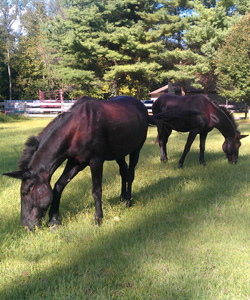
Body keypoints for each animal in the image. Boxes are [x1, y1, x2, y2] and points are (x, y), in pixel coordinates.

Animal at [2, 95, 187, 230]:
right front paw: (54, 220)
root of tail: (142, 108)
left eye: (25, 191)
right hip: (119, 154)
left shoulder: (95, 161)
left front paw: (98, 218)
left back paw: (128, 200)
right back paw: (122, 197)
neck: (77, 127)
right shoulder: (76, 161)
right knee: (124, 172)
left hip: (135, 150)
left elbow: (96, 190)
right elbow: (58, 186)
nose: (26, 226)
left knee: (130, 174)